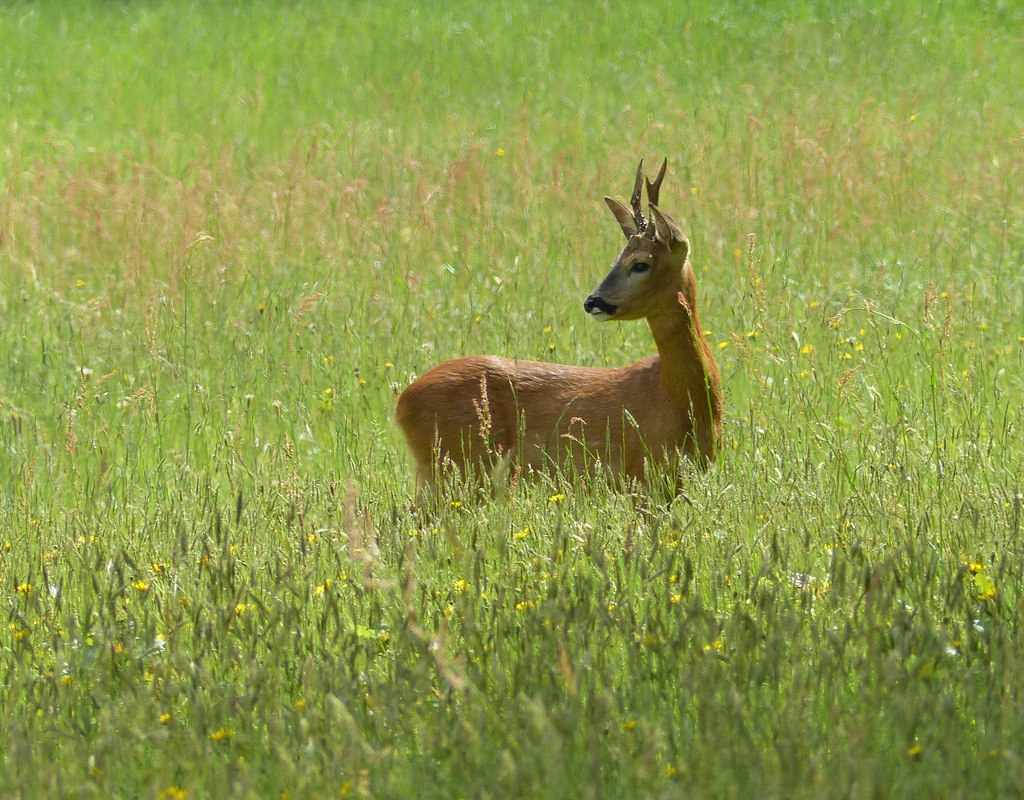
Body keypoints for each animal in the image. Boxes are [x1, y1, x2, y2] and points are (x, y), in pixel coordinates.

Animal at [391, 157, 720, 493]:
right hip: (453, 470)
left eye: (640, 263)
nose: (592, 301)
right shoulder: (641, 473)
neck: (682, 397)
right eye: (618, 258)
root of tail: (402, 401)